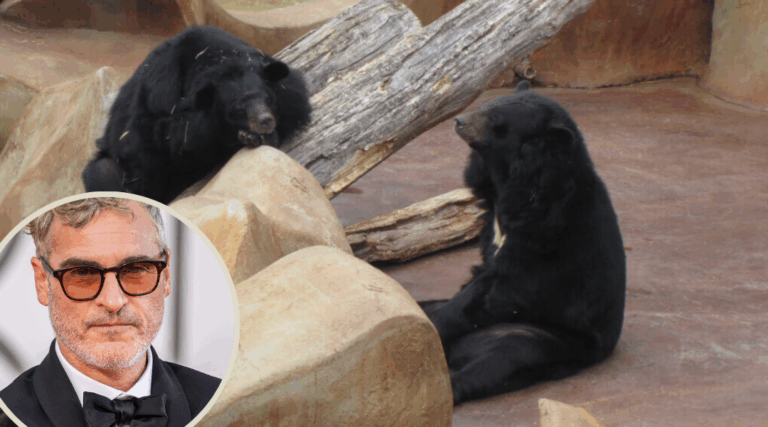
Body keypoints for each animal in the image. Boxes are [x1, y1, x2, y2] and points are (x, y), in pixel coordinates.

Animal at [82, 25, 312, 204]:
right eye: (237, 110)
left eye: (267, 98)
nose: (265, 121)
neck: (216, 59)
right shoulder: (162, 102)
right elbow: (176, 138)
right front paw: (246, 136)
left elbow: (294, 106)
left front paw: (262, 137)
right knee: (103, 172)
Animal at [420, 81, 626, 406]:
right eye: (486, 105)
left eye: (496, 120)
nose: (459, 121)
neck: (507, 178)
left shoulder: (546, 231)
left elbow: (502, 286)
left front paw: (437, 325)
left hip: (543, 336)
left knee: (501, 357)